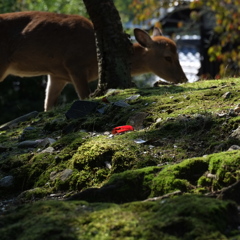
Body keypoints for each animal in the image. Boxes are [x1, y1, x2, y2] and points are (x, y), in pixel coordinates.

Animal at [0, 11, 188, 111]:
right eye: (168, 57)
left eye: (178, 54)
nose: (184, 79)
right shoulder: (74, 63)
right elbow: (84, 96)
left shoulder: (57, 75)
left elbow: (48, 105)